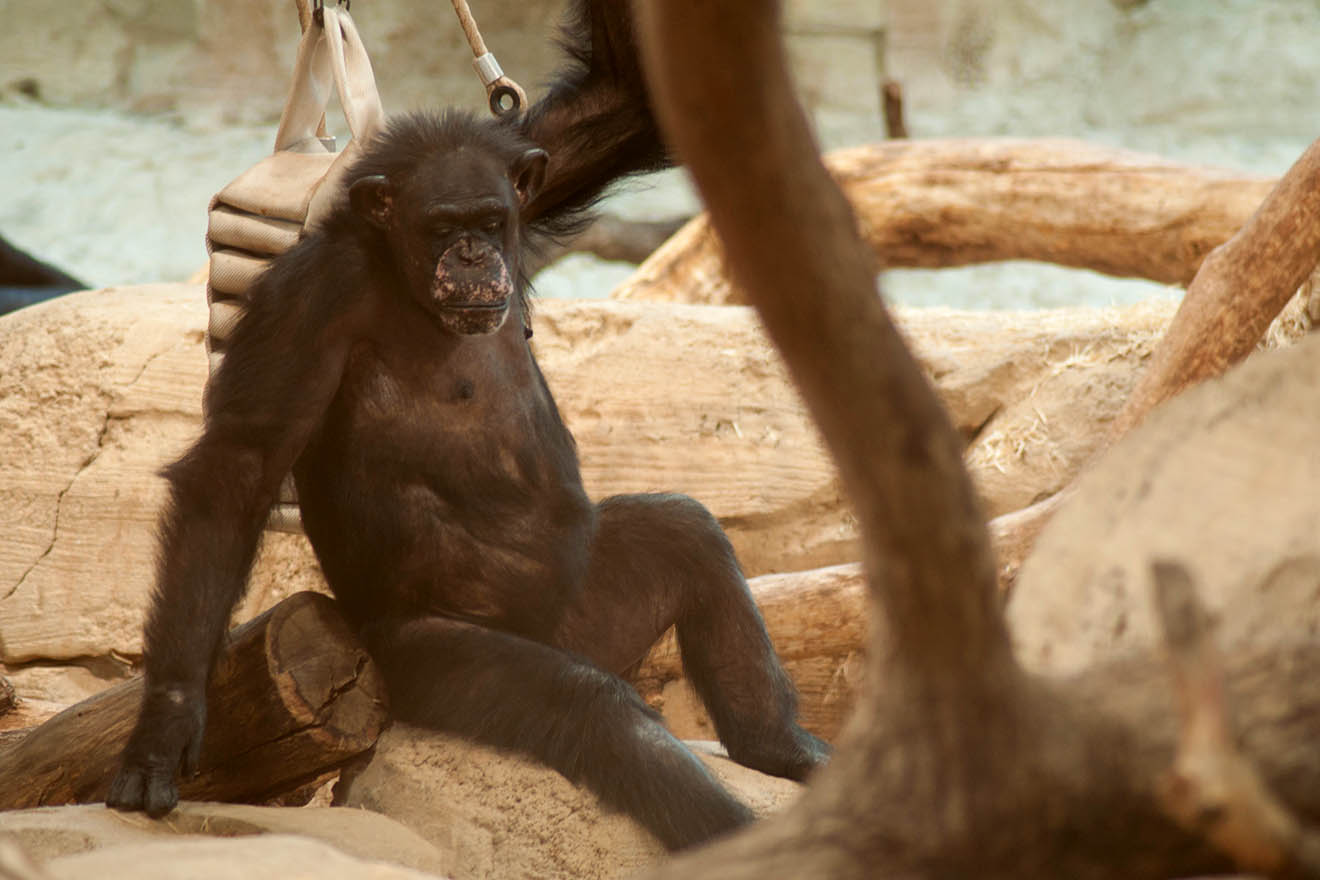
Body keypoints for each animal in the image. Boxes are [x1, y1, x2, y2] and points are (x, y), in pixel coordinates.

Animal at [108, 0, 823, 854]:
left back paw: (779, 749)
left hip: (592, 601)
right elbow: (240, 463)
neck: (399, 274)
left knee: (685, 532)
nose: (477, 254)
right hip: (435, 660)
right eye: (441, 226)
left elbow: (622, 99)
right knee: (594, 708)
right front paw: (166, 725)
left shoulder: (534, 172)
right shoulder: (307, 300)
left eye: (486, 218)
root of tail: (558, 635)